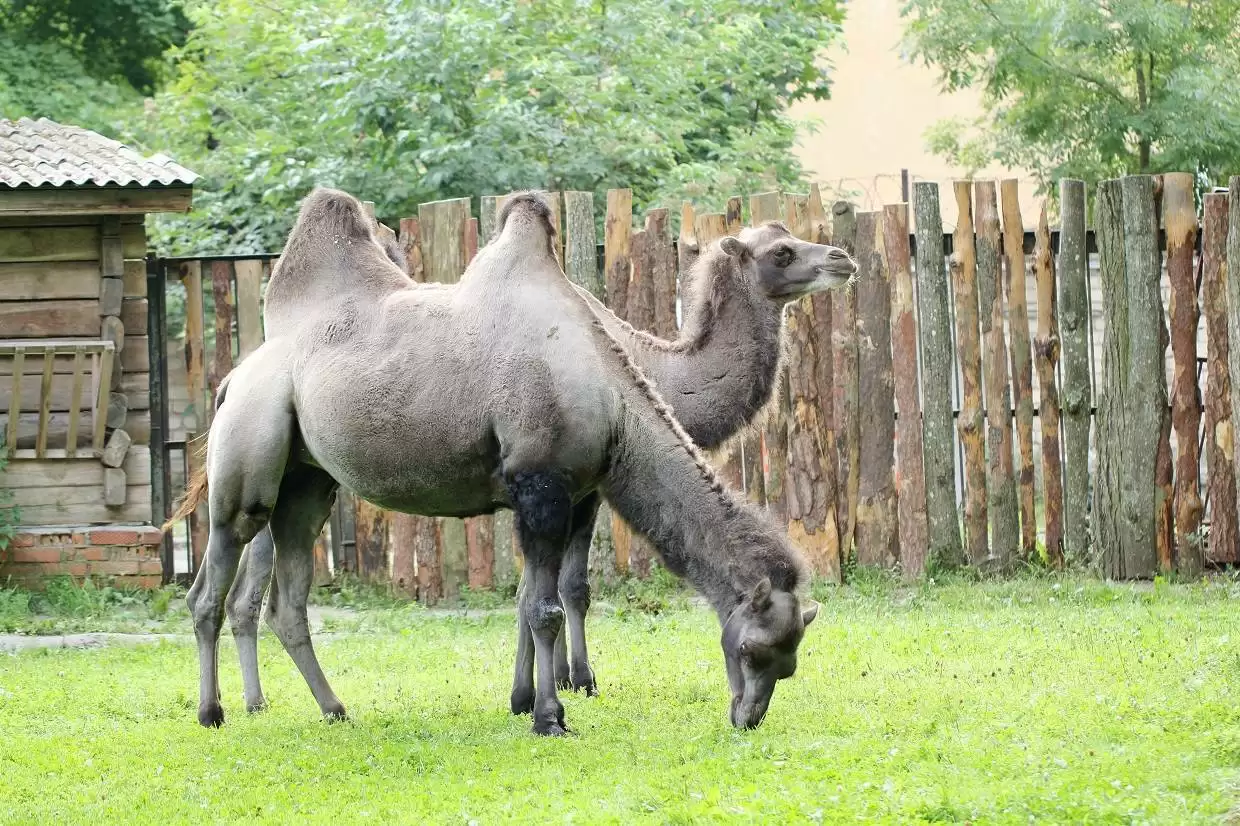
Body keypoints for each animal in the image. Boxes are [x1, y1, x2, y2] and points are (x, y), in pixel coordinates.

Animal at [172, 188, 833, 734]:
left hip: (307, 483)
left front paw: (528, 701)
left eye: (790, 664)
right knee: (212, 585)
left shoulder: (562, 491)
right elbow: (546, 607)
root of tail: (232, 376)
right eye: (750, 651)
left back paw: (333, 710)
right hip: (249, 455)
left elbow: (533, 599)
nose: (747, 717)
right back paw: (214, 712)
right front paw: (550, 714)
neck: (616, 389)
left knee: (286, 600)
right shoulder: (541, 485)